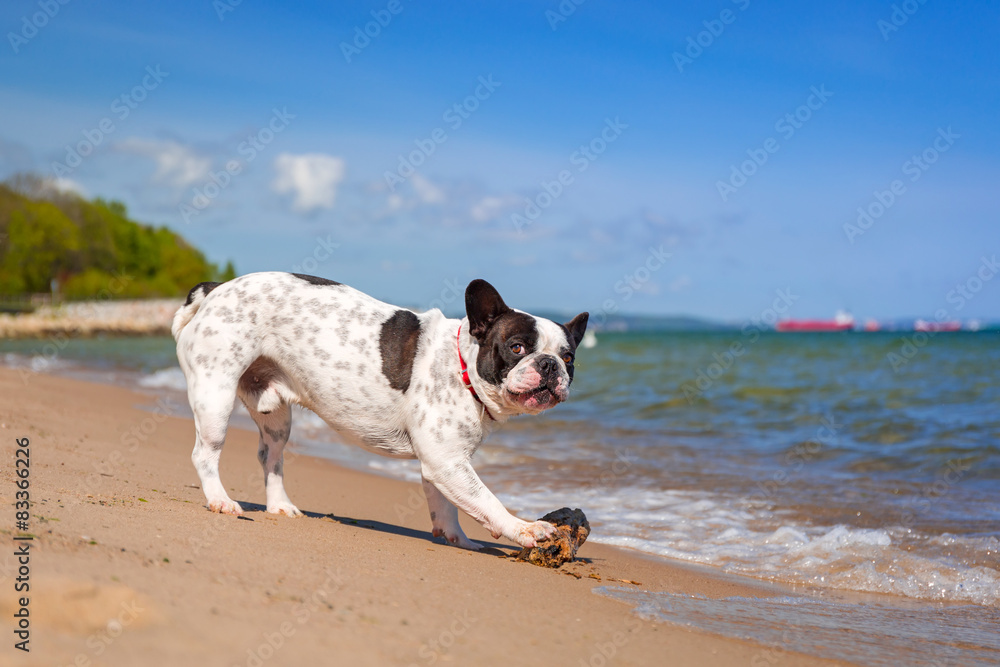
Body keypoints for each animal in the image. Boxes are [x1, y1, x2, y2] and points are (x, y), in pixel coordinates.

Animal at [173, 274, 588, 552]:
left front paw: (457, 538)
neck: (461, 365)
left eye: (569, 357)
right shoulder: (447, 462)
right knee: (204, 453)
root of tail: (215, 289)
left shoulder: (443, 463)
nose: (550, 364)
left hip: (276, 418)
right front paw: (525, 529)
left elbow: (448, 504)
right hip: (215, 394)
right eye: (517, 348)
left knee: (269, 457)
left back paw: (280, 506)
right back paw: (220, 500)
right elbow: (486, 500)